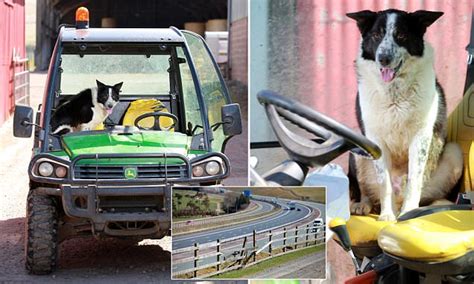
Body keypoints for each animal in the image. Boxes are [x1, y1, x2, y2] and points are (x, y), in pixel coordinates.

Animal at [348, 9, 462, 222]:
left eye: (401, 35)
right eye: (376, 35)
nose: (383, 58)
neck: (394, 92)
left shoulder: (421, 137)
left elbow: (414, 180)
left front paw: (409, 213)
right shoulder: (375, 140)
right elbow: (384, 184)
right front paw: (387, 216)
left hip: (454, 152)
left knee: (429, 197)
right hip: (357, 150)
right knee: (367, 191)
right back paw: (362, 205)